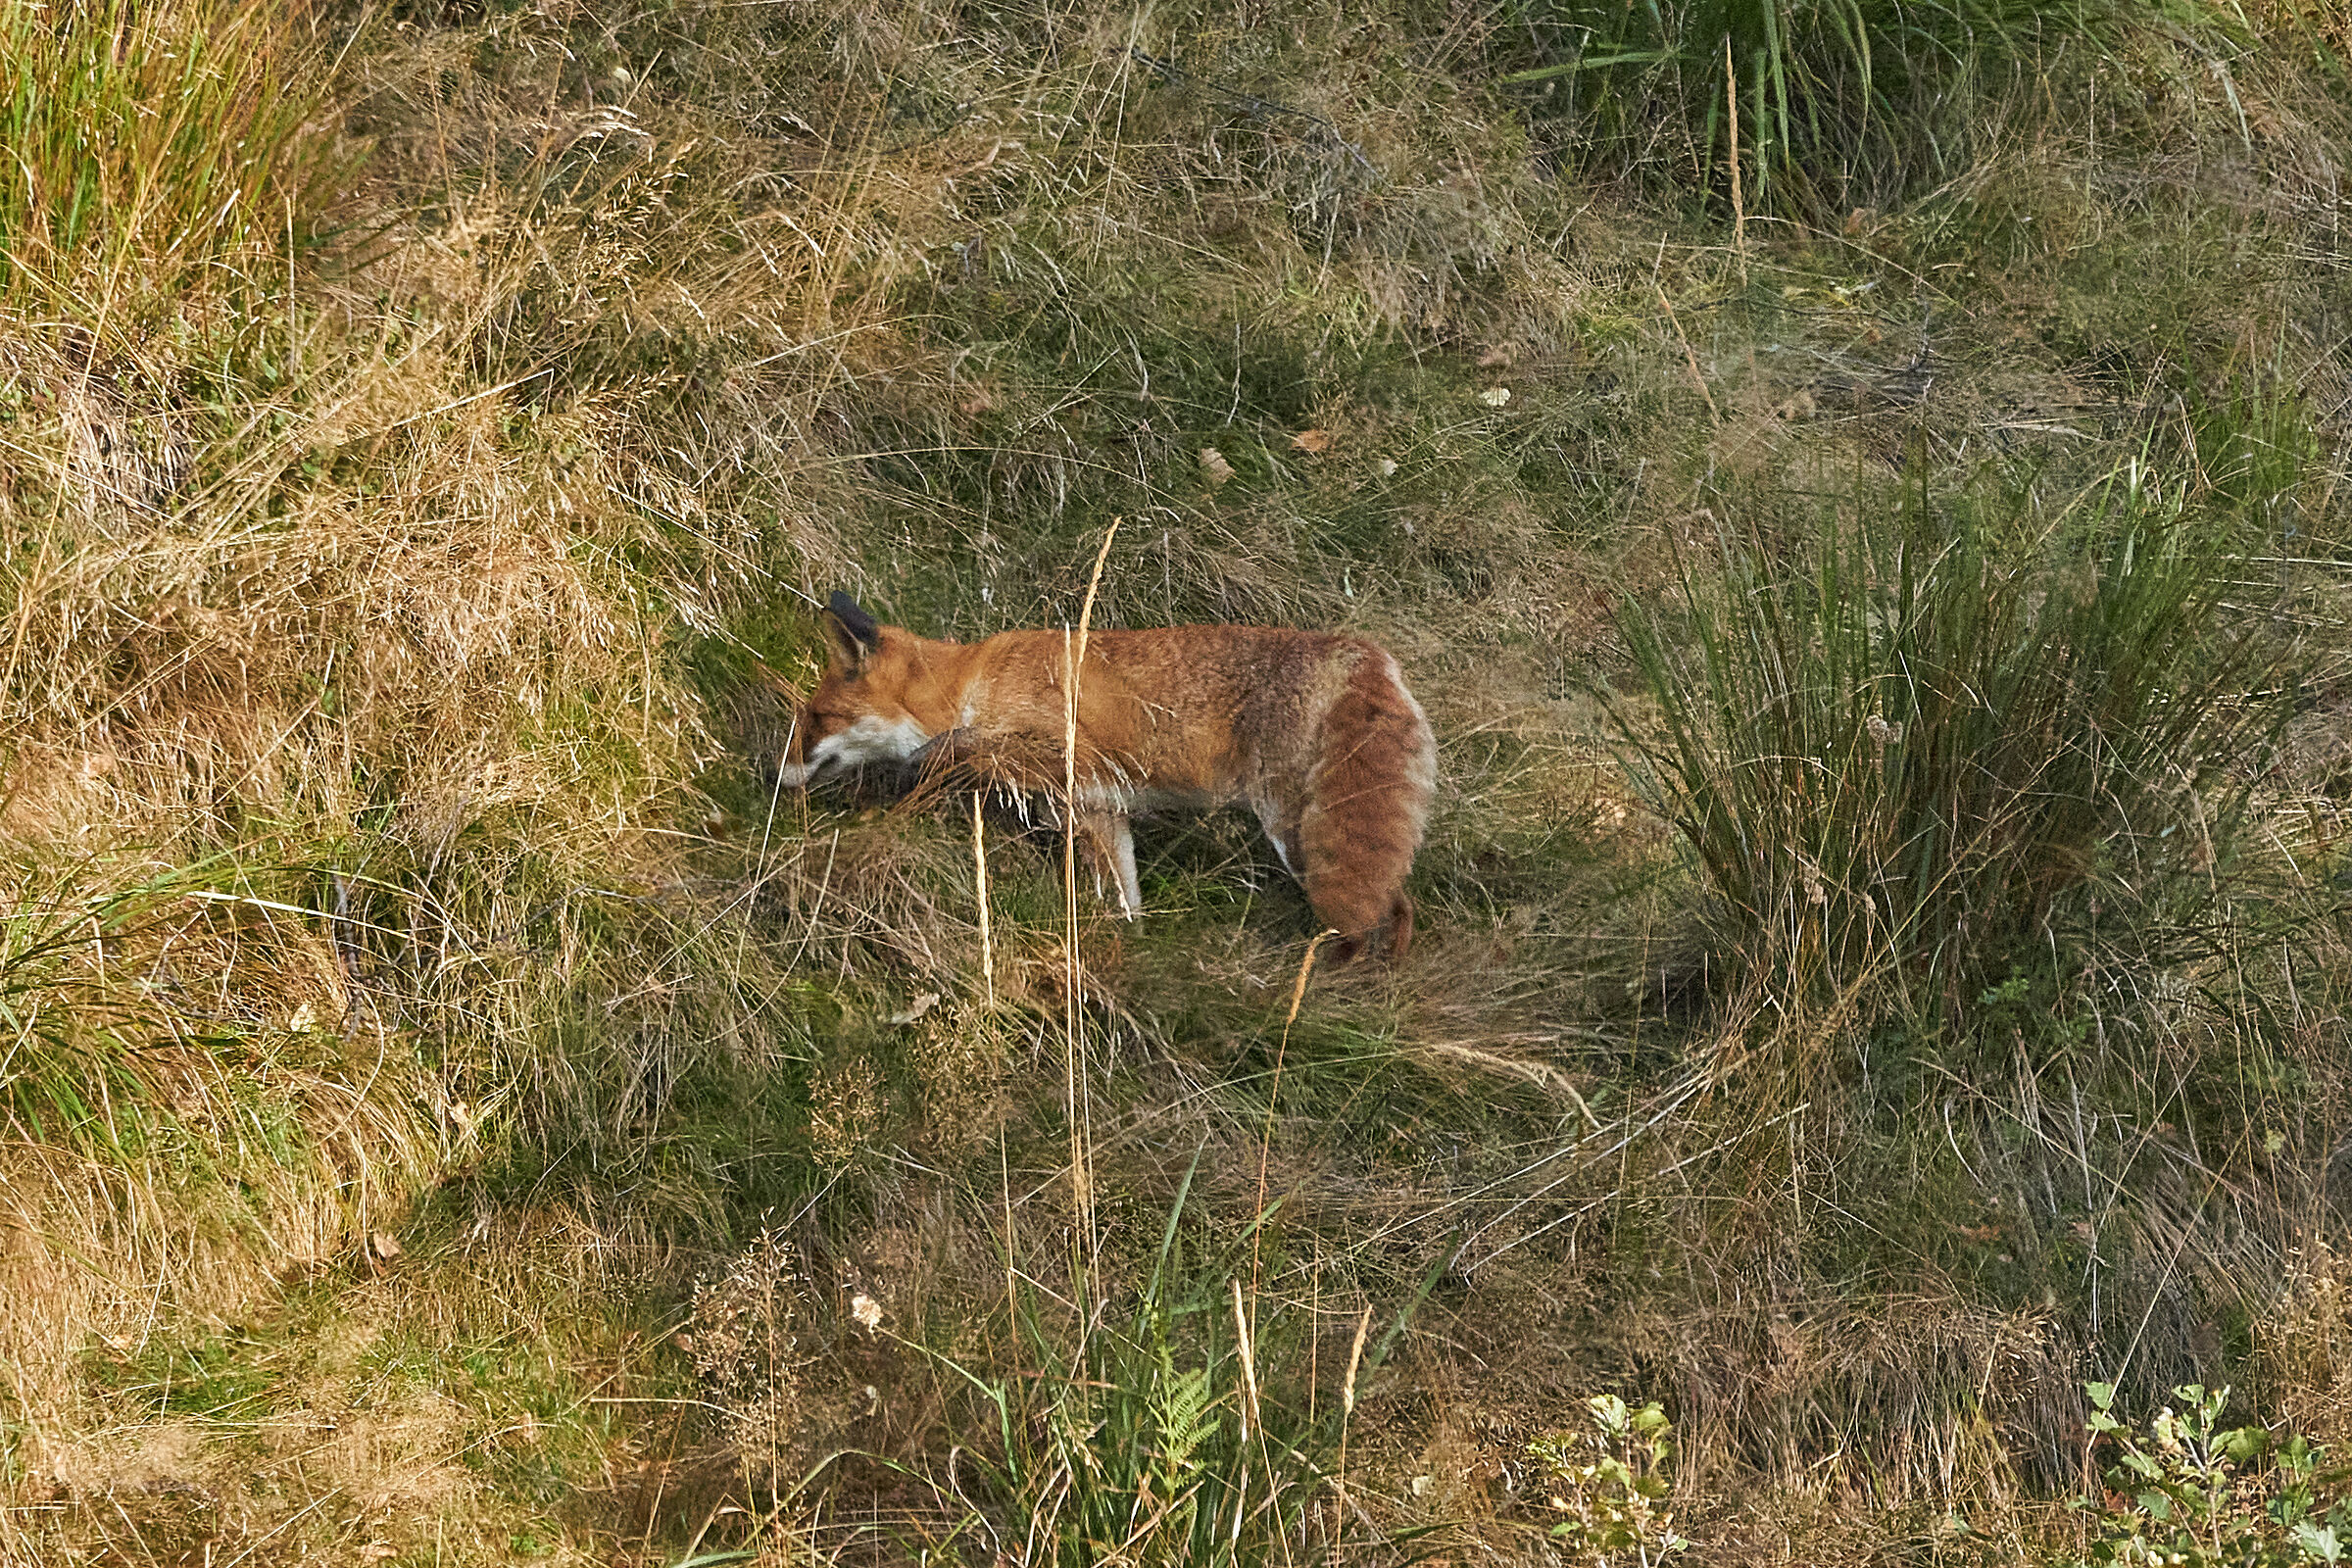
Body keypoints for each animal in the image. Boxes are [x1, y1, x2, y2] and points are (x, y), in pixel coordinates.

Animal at [780, 592, 1438, 961]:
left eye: (816, 718)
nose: (775, 774)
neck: (972, 685)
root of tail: (1364, 654)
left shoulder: (1074, 775)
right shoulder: (1101, 807)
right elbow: (1127, 907)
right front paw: (1131, 957)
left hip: (1297, 836)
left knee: (1378, 913)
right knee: (1398, 908)